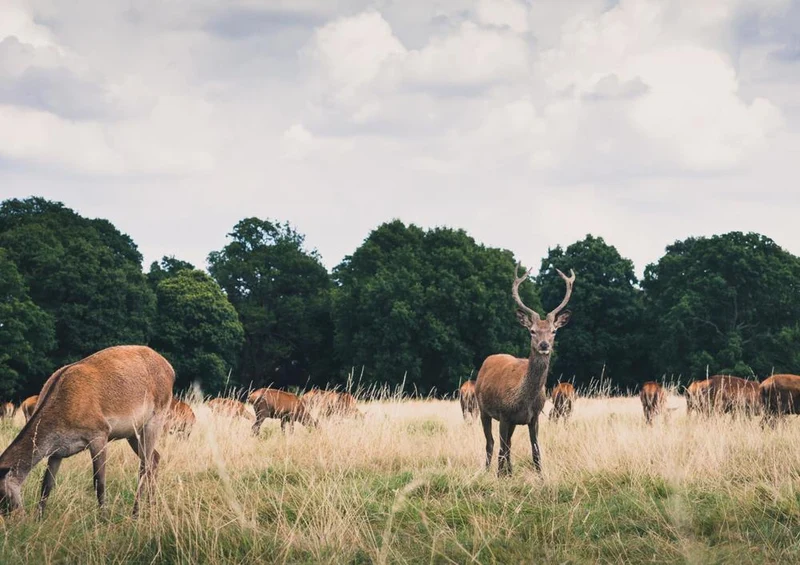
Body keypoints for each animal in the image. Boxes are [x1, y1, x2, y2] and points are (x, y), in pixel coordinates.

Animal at [0, 345, 174, 517]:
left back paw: (136, 513)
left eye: (2, 497)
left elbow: (99, 481)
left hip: (156, 419)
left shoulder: (100, 433)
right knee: (154, 459)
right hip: (133, 432)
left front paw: (104, 518)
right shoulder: (57, 451)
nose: (16, 517)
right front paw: (39, 517)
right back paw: (152, 506)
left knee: (144, 466)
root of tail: (171, 369)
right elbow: (46, 485)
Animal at [475, 263, 575, 476]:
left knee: (508, 444)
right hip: (483, 409)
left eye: (554, 330)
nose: (544, 345)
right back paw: (487, 471)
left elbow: (535, 450)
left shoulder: (534, 417)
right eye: (532, 331)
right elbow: (501, 448)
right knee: (491, 443)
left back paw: (509, 472)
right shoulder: (504, 414)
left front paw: (540, 476)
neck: (524, 400)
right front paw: (498, 477)